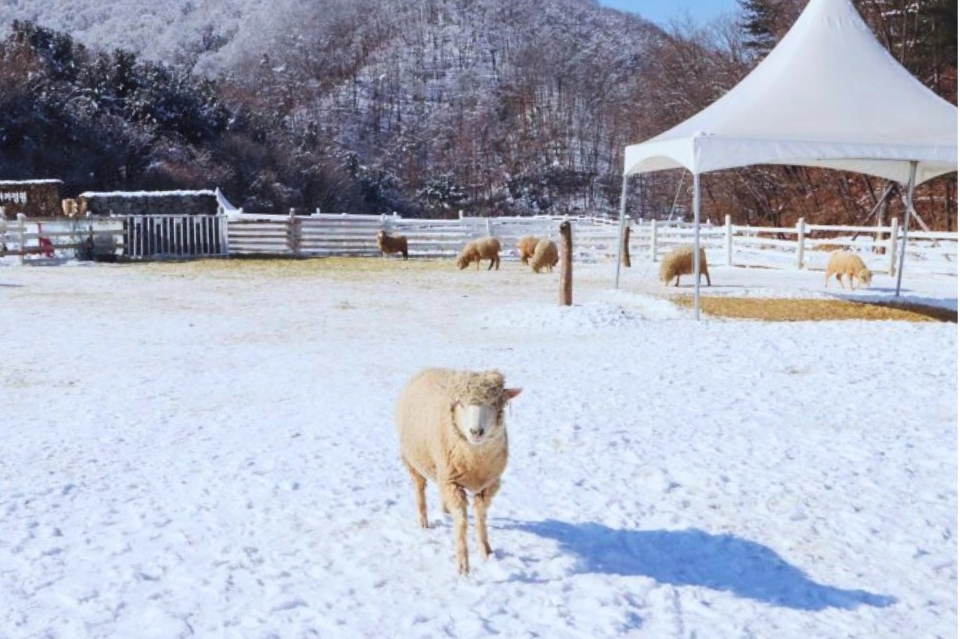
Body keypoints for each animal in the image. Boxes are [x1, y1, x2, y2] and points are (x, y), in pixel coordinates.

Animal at [396, 368, 522, 575]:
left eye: (493, 403)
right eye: (460, 403)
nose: (476, 431)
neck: (474, 460)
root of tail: (429, 368)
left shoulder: (488, 484)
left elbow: (480, 517)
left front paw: (486, 551)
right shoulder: (452, 482)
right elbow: (462, 521)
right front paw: (463, 564)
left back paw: (445, 509)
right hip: (412, 460)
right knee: (420, 490)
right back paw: (423, 521)